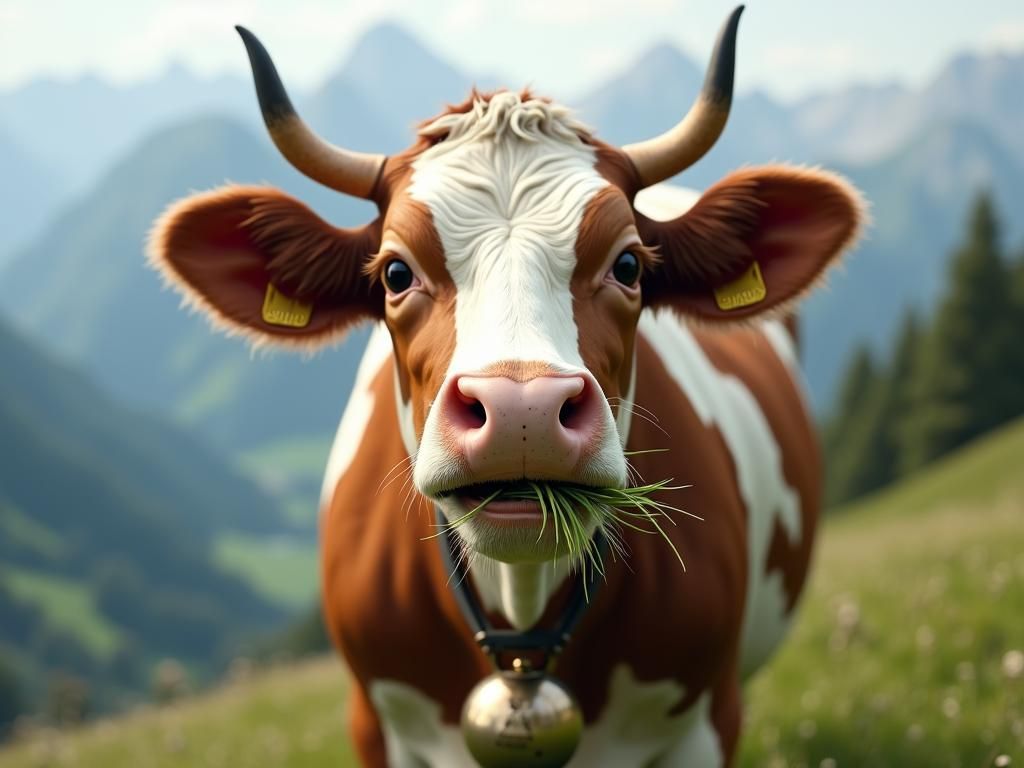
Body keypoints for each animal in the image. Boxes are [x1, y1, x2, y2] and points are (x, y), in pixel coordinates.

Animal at [149, 7, 863, 766]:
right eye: (395, 272)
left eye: (630, 265)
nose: (525, 411)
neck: (522, 605)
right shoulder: (375, 725)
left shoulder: (707, 722)